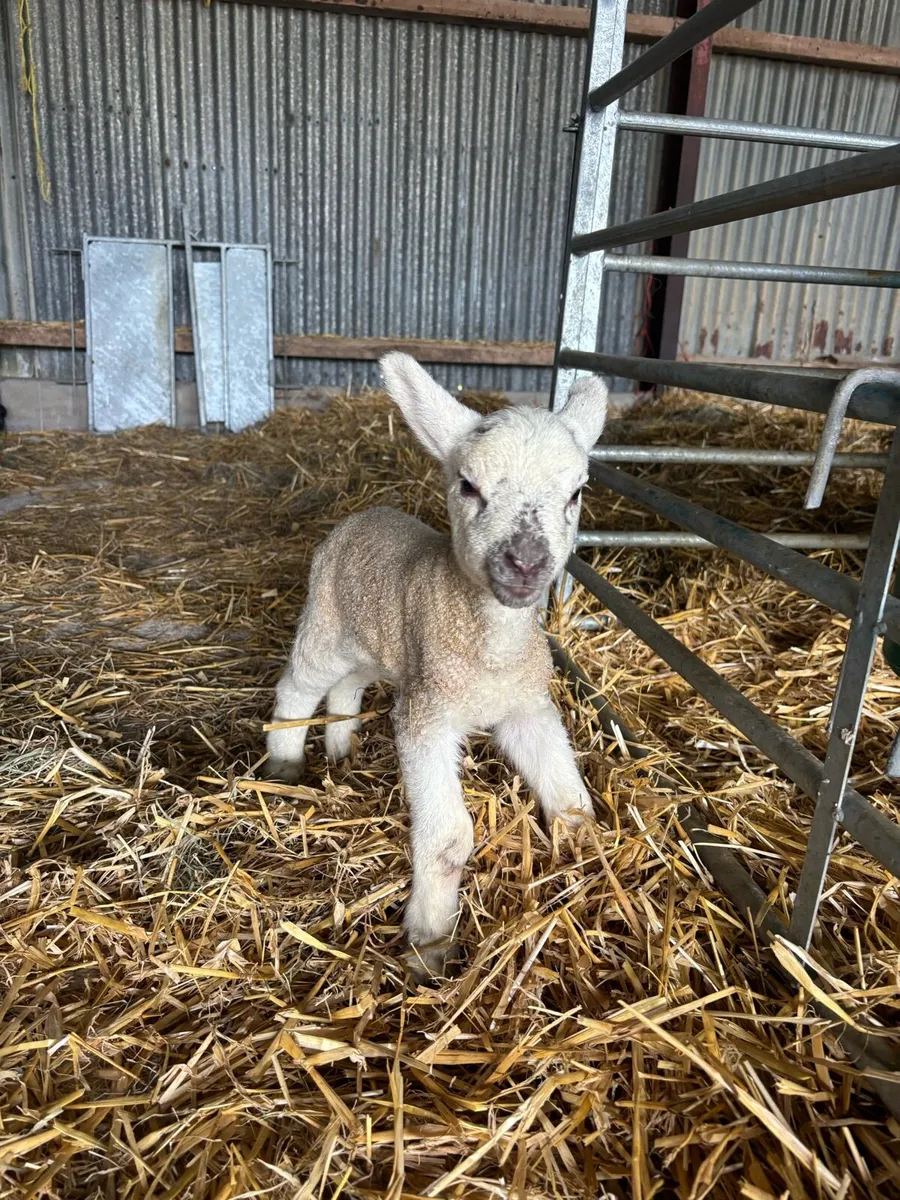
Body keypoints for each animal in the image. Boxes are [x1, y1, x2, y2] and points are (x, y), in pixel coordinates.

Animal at [265, 353, 608, 977]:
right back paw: (284, 762)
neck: (488, 648)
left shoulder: (526, 706)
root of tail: (364, 514)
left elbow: (571, 799)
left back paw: (342, 747)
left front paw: (581, 854)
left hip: (379, 641)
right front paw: (429, 944)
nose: (526, 563)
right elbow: (448, 840)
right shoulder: (427, 714)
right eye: (468, 486)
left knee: (348, 687)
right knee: (297, 687)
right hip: (325, 619)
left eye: (575, 493)